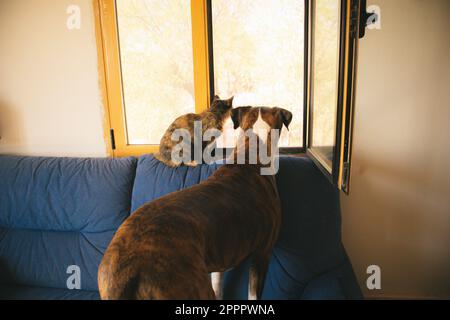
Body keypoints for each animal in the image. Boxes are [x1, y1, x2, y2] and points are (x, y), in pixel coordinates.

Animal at [99, 106, 294, 298]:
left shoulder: (221, 258)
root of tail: (129, 271)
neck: (251, 150)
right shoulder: (263, 255)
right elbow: (253, 294)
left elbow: (218, 286)